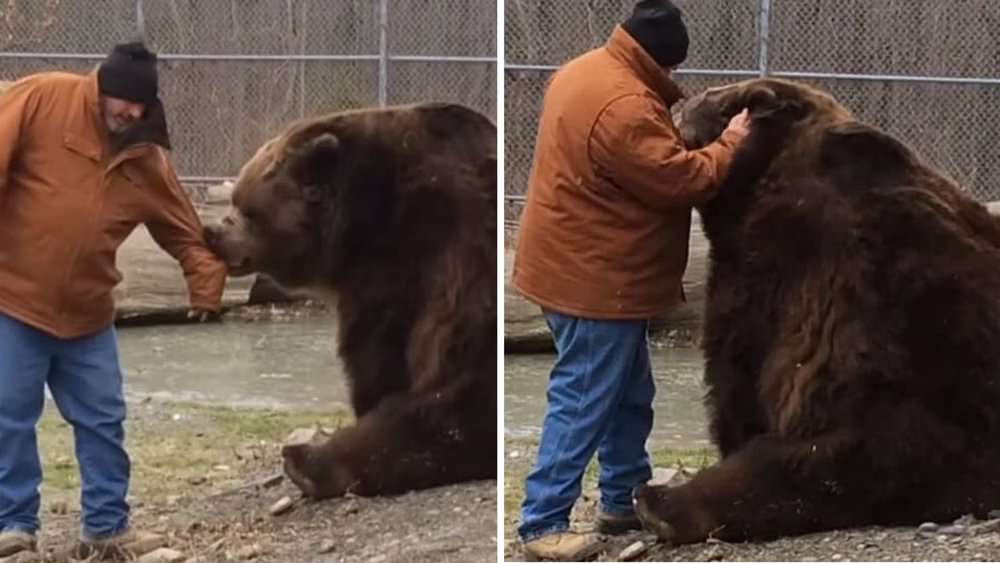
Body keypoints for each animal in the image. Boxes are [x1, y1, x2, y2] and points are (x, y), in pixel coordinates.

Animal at [204, 102, 497, 499]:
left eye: (248, 210)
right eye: (235, 201)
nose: (213, 232)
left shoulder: (406, 263)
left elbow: (376, 351)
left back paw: (307, 461)